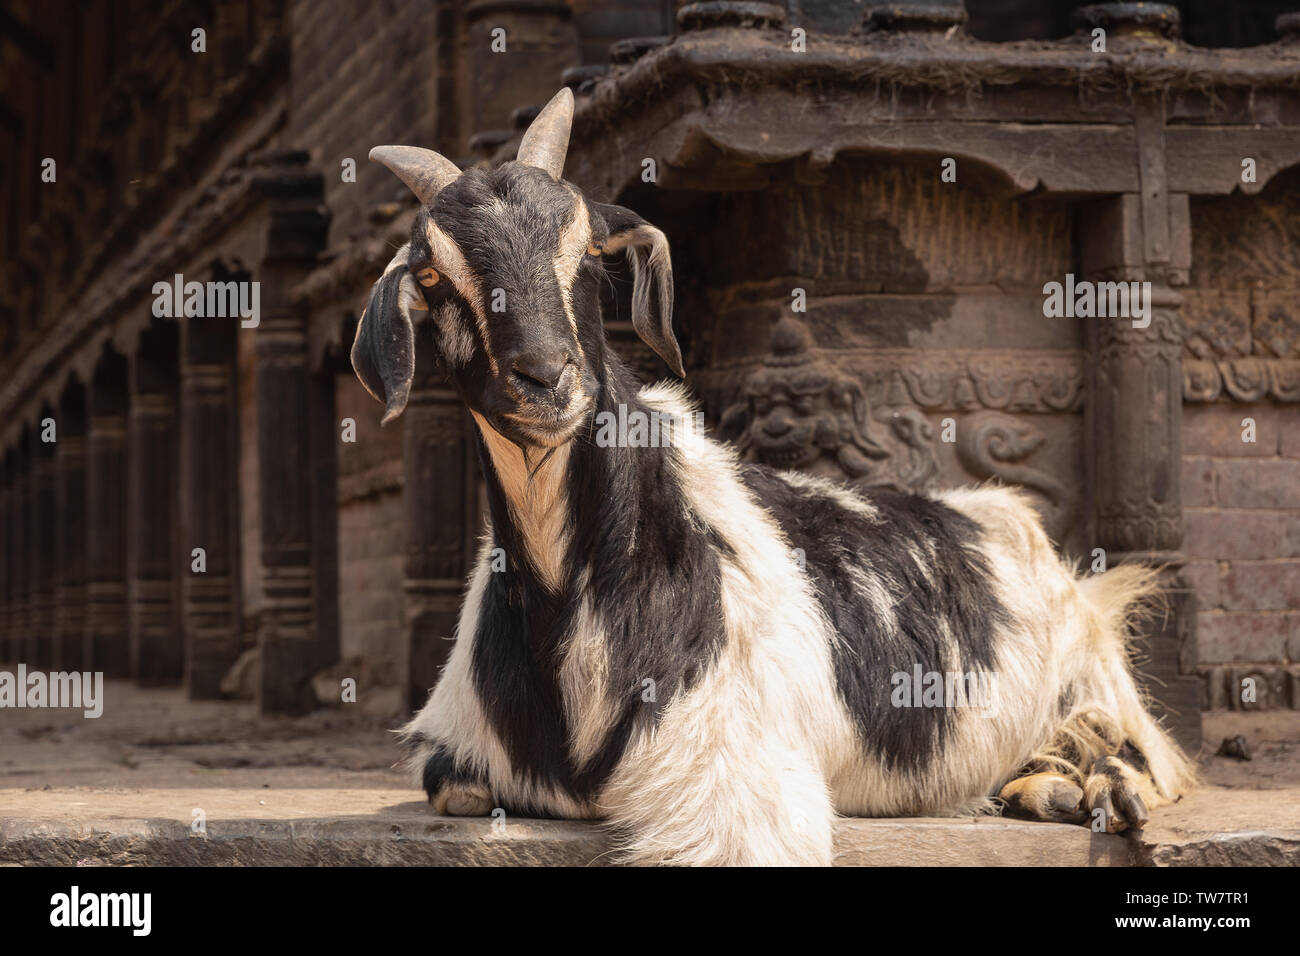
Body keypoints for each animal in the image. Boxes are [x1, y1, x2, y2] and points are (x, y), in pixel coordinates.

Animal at [351, 89, 1195, 866]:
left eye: (588, 250)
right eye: (433, 276)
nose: (545, 378)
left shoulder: (740, 777)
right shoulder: (460, 750)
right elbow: (453, 786)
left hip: (1090, 677)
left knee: (1143, 756)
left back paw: (1102, 787)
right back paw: (1049, 788)